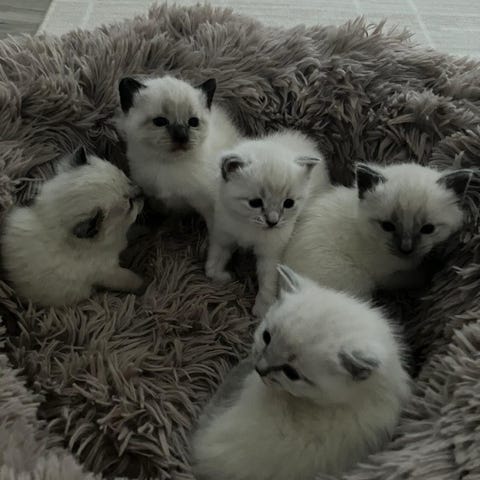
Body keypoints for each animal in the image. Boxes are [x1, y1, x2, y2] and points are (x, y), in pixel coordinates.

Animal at [1, 147, 144, 307]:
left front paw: (144, 230)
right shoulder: (108, 272)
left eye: (128, 181)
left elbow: (132, 233)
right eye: (130, 204)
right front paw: (144, 285)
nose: (142, 192)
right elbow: (130, 279)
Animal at [115, 75, 241, 227]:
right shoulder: (155, 199)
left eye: (193, 122)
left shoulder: (209, 207)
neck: (167, 166)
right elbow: (164, 217)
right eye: (160, 122)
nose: (182, 136)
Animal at [205, 130, 329, 317]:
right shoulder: (223, 236)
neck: (248, 226)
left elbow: (267, 283)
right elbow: (212, 265)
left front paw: (262, 310)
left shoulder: (270, 253)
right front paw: (221, 277)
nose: (273, 222)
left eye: (288, 203)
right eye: (255, 203)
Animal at [283, 162, 472, 297]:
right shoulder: (385, 276)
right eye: (387, 226)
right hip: (356, 280)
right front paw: (432, 268)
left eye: (428, 229)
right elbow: (416, 276)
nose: (406, 249)